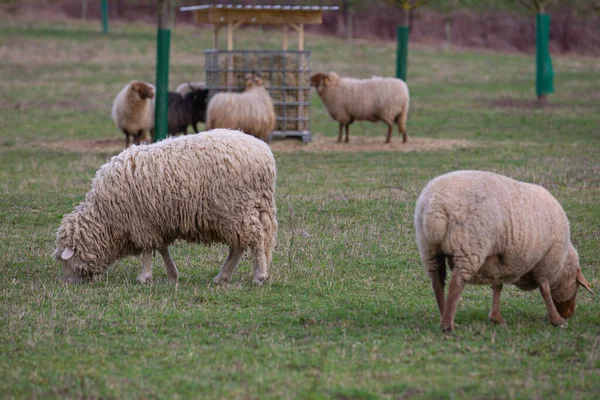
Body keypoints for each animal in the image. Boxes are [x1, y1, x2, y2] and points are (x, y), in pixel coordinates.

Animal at [52, 130, 278, 286]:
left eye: (65, 260)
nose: (68, 283)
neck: (105, 217)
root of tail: (263, 152)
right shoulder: (156, 222)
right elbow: (161, 248)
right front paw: (172, 274)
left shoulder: (140, 222)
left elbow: (146, 250)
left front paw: (144, 277)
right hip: (246, 210)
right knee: (241, 245)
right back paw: (223, 276)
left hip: (235, 209)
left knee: (255, 238)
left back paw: (259, 275)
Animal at [414, 170, 592, 332]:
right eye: (577, 287)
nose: (570, 314)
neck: (561, 265)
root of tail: (435, 206)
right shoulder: (544, 262)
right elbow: (545, 290)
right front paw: (557, 320)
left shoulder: (498, 264)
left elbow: (497, 287)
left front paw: (496, 318)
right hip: (470, 247)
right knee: (457, 283)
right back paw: (447, 325)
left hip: (428, 247)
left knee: (437, 281)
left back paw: (444, 315)